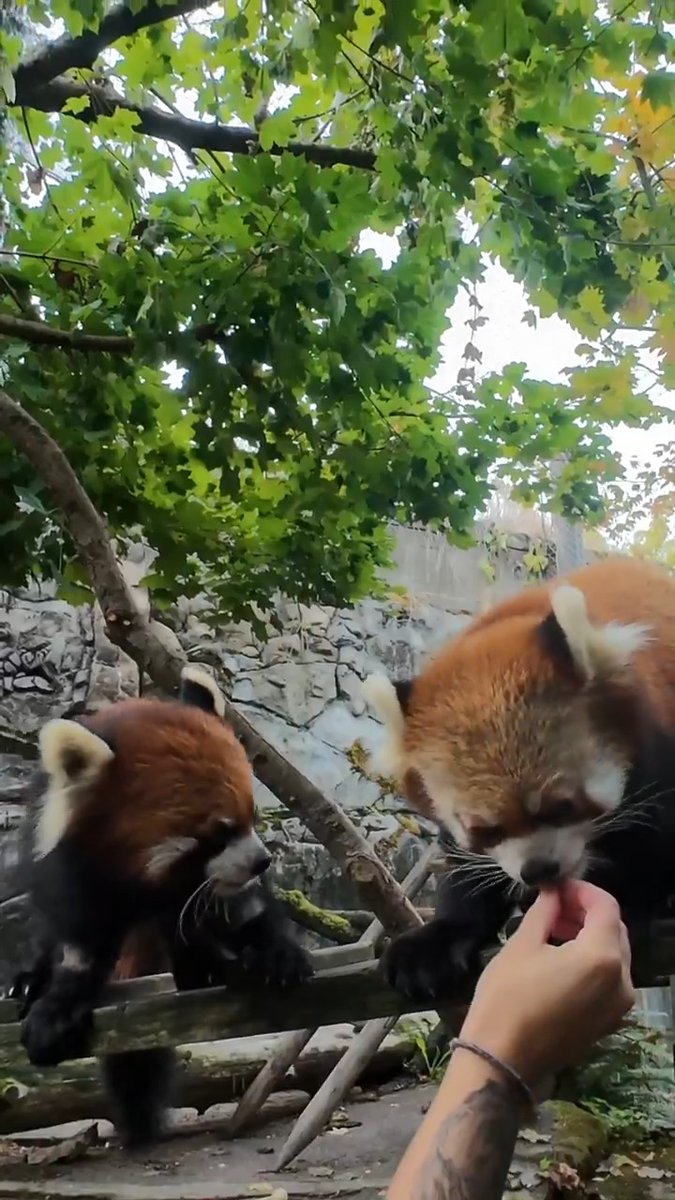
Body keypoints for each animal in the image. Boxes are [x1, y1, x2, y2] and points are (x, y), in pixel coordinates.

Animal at [10, 665, 312, 1146]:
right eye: (217, 832)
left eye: (251, 819)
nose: (262, 861)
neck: (147, 880)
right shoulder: (73, 874)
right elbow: (78, 946)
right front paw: (57, 1002)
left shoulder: (213, 885)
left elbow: (243, 911)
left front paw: (276, 953)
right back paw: (30, 979)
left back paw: (201, 969)